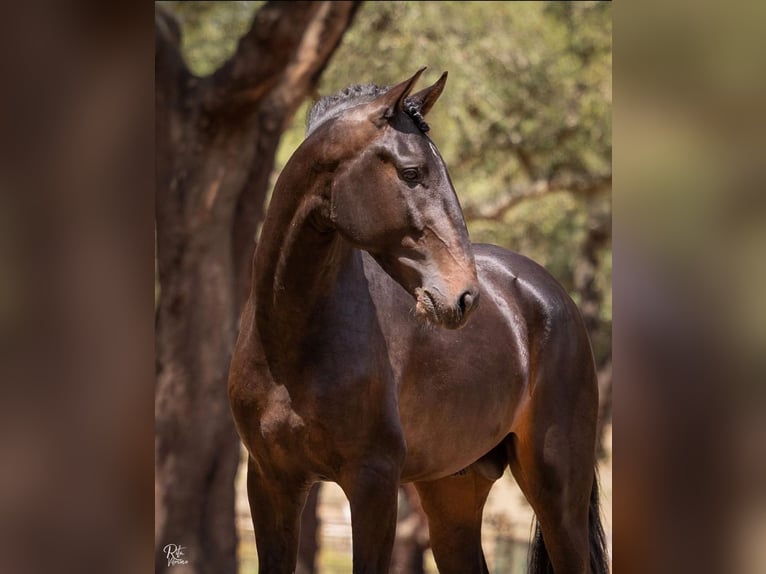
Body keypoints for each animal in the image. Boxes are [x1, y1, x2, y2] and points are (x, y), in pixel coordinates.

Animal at [228, 68, 612, 574]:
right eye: (411, 173)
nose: (464, 297)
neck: (290, 342)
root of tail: (550, 294)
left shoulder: (372, 483)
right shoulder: (270, 482)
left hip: (558, 492)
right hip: (453, 492)